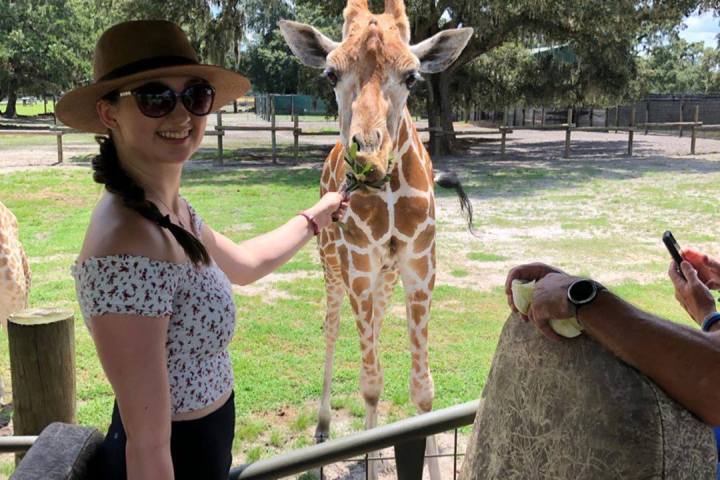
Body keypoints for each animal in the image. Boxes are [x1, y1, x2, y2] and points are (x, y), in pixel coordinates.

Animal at [280, 2, 473, 477]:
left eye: (413, 77)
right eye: (331, 74)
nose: (367, 157)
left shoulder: (419, 266)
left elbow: (423, 389)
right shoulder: (359, 265)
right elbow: (370, 383)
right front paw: (368, 452)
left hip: (384, 275)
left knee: (376, 328)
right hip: (333, 263)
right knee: (333, 328)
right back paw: (323, 427)